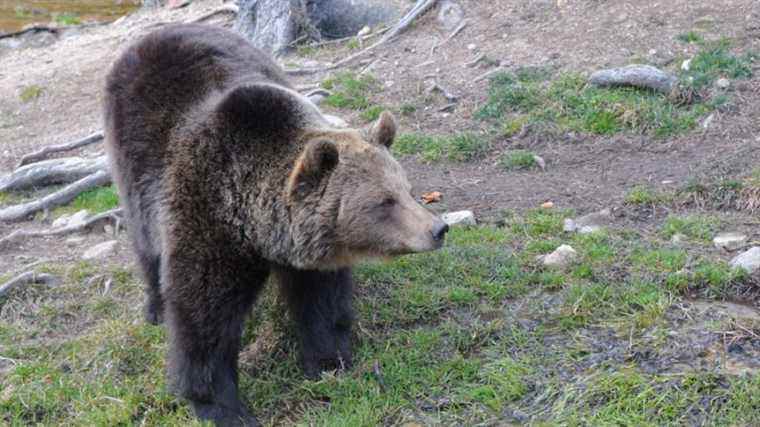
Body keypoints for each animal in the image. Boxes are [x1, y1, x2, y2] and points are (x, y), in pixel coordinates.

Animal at [101, 25, 446, 426]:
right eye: (384, 202)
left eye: (407, 189)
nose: (437, 229)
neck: (252, 224)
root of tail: (157, 33)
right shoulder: (206, 221)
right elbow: (203, 317)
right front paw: (221, 404)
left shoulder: (310, 252)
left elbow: (321, 302)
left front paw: (328, 360)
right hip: (132, 159)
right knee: (145, 240)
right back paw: (155, 307)